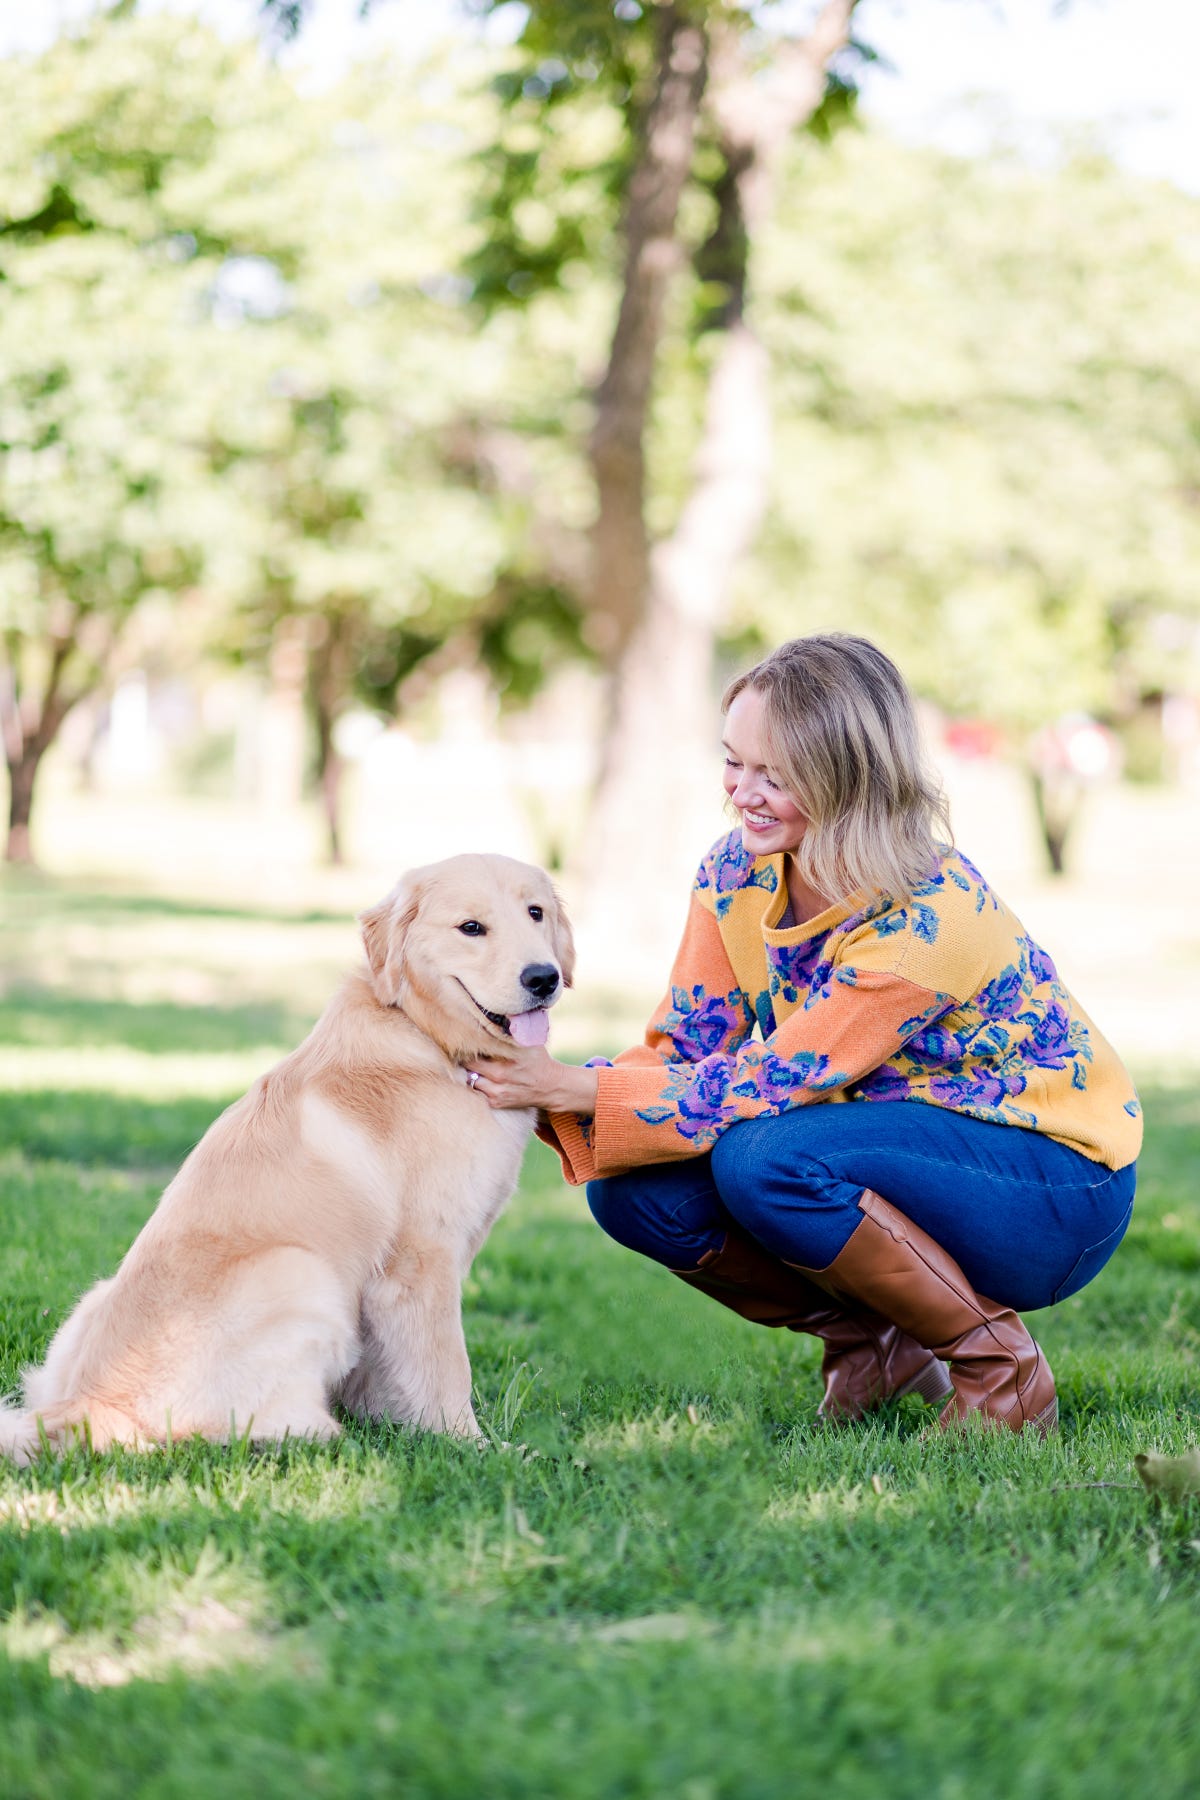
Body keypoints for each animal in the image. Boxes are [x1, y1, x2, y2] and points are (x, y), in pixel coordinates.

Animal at [0, 853, 572, 1461]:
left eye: (535, 913)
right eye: (471, 928)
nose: (542, 977)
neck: (426, 1036)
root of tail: (93, 1403)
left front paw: (396, 1421)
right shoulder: (421, 1262)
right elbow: (445, 1368)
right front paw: (473, 1446)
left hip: (92, 1301)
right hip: (301, 1271)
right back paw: (321, 1433)